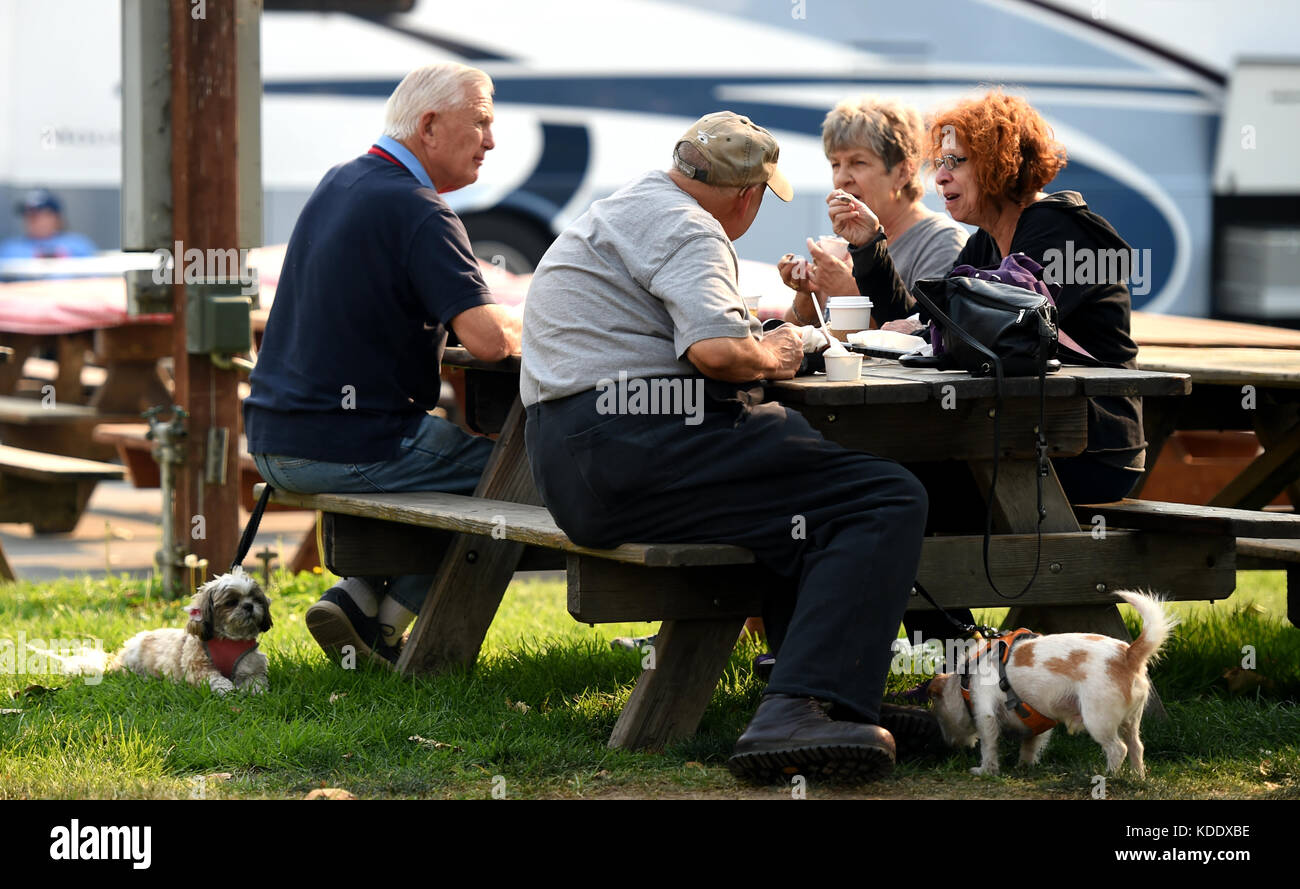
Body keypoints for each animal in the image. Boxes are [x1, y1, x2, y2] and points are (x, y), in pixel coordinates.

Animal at [111, 569, 271, 696]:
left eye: (256, 599)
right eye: (231, 602)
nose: (249, 605)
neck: (229, 639)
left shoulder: (251, 665)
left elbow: (255, 679)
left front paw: (255, 690)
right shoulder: (199, 666)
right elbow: (214, 678)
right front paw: (226, 689)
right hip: (132, 659)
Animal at [930, 590, 1175, 779]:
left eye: (940, 717)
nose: (948, 746)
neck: (967, 674)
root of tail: (1128, 654)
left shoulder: (986, 714)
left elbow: (989, 746)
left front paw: (985, 771)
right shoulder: (1036, 724)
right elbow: (1030, 745)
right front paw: (1024, 766)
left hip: (1098, 721)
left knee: (1118, 749)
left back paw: (1109, 777)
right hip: (1131, 722)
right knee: (1136, 747)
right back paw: (1137, 777)